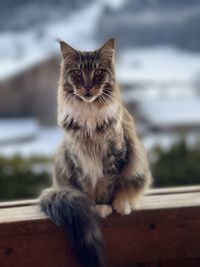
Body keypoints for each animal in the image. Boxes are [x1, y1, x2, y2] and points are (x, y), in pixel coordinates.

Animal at [39, 39, 152, 267]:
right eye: (77, 73)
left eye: (98, 72)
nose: (88, 86)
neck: (89, 115)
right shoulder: (79, 159)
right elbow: (87, 188)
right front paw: (93, 207)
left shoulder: (114, 156)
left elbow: (107, 187)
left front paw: (104, 206)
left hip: (137, 165)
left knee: (126, 189)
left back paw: (121, 205)